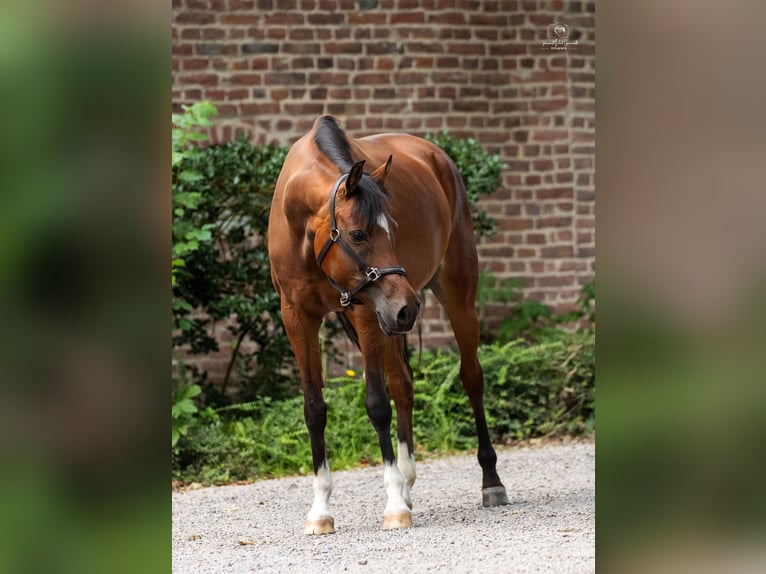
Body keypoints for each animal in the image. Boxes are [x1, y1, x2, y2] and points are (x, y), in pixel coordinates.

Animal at [270, 116, 510, 536]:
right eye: (358, 234)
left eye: (393, 229)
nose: (408, 306)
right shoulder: (297, 318)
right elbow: (315, 409)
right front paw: (321, 511)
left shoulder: (367, 314)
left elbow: (377, 405)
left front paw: (394, 504)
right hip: (390, 322)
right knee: (404, 385)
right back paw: (408, 480)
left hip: (452, 298)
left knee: (471, 378)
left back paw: (490, 482)